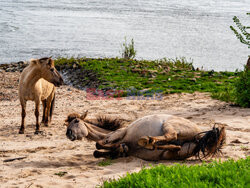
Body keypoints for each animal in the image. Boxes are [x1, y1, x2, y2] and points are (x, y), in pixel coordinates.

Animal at [65, 112, 226, 161]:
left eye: (76, 121)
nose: (68, 133)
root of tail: (200, 137)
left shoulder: (119, 133)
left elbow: (99, 144)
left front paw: (120, 147)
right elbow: (97, 152)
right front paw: (121, 149)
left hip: (169, 125)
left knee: (171, 135)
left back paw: (147, 140)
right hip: (173, 153)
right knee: (174, 146)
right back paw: (151, 144)